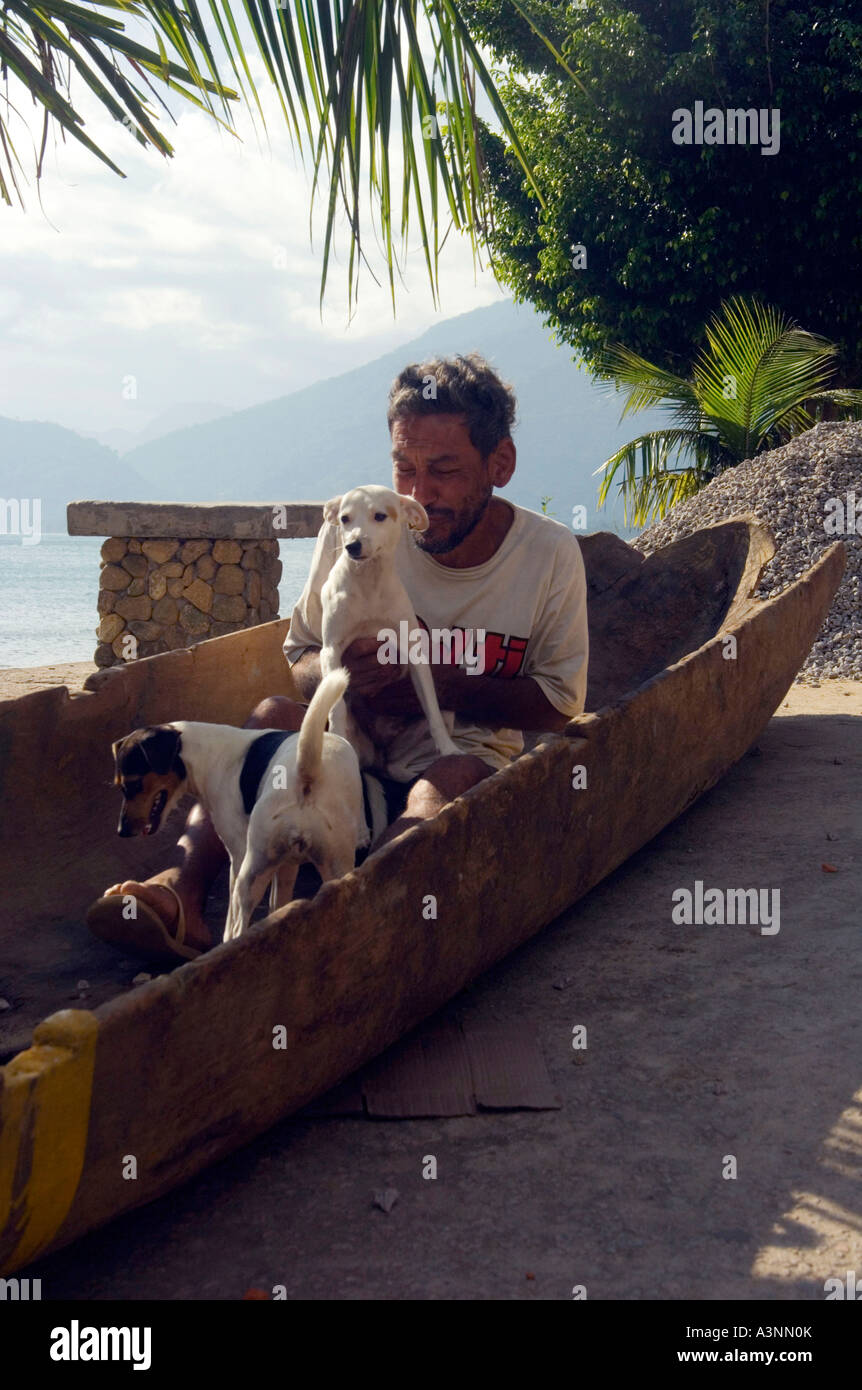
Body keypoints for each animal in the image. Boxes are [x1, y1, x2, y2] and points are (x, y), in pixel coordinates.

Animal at [319, 483, 461, 767]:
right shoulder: (330, 650)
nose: (352, 545)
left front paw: (448, 748)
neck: (369, 584)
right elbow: (336, 705)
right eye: (345, 518)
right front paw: (337, 737)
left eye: (380, 516)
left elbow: (432, 708)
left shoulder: (414, 653)